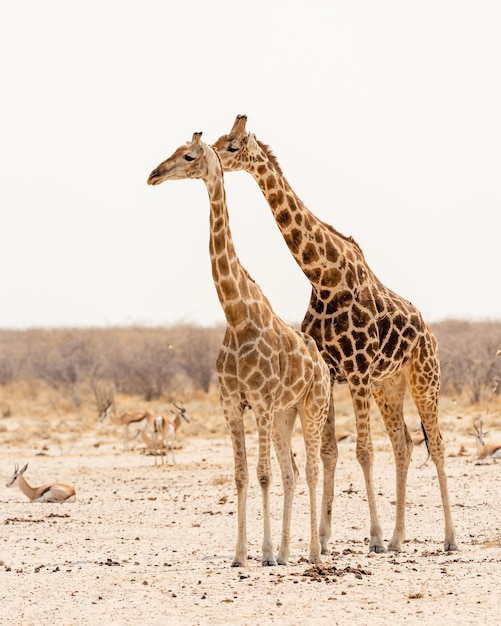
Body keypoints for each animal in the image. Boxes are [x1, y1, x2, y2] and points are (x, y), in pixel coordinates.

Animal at [146, 132, 330, 564]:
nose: (154, 174)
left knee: (312, 469)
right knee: (292, 471)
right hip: (285, 414)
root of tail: (323, 364)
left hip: (313, 406)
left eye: (188, 156)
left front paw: (262, 553)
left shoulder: (259, 401)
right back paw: (287, 550)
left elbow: (262, 475)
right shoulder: (231, 403)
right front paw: (241, 554)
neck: (236, 315)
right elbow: (243, 475)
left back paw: (313, 552)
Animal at [211, 113, 458, 552]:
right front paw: (324, 539)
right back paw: (399, 538)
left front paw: (372, 537)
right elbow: (329, 452)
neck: (324, 278)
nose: (213, 157)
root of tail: (429, 332)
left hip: (424, 377)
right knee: (404, 444)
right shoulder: (332, 373)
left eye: (234, 146)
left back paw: (447, 538)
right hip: (388, 385)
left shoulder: (356, 373)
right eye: (221, 141)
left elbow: (362, 451)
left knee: (438, 443)